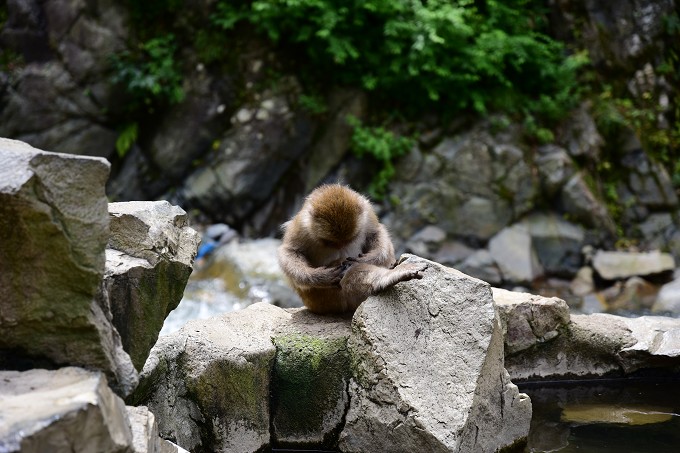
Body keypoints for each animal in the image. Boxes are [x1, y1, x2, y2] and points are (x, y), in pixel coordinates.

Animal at [276, 184, 424, 314]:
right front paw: (319, 277)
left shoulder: (367, 211)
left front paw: (370, 258)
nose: (341, 246)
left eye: (349, 239)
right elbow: (290, 251)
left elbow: (375, 232)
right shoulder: (301, 226)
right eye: (332, 242)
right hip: (321, 301)